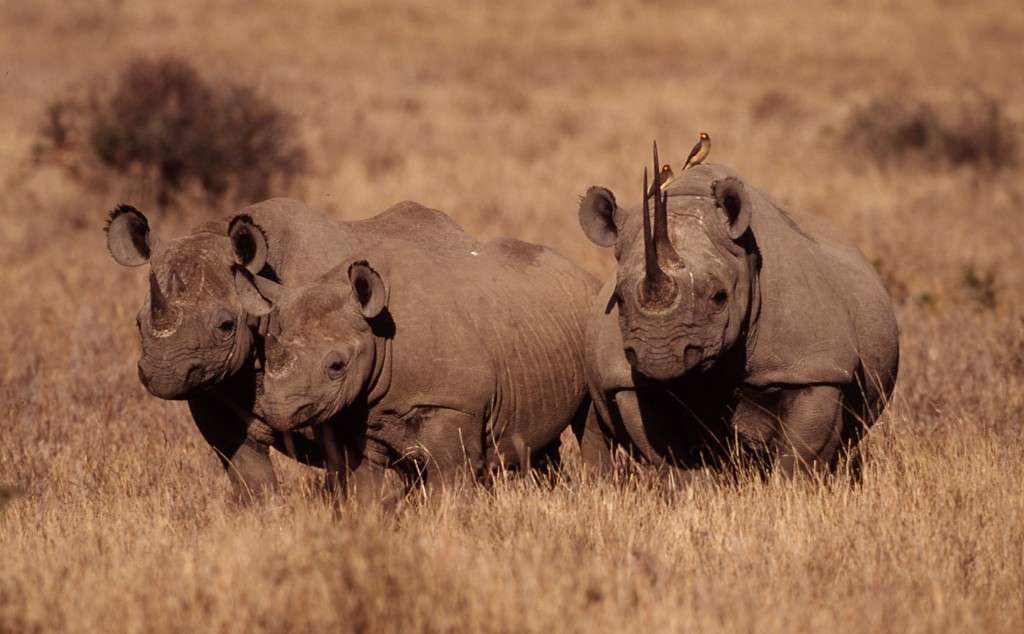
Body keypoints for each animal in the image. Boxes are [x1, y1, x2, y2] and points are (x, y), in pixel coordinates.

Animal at [230, 217, 601, 501]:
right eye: (266, 356)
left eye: (336, 366)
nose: (279, 409)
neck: (378, 336)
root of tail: (577, 270)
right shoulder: (357, 413)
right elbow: (364, 488)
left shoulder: (453, 405)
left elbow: (449, 483)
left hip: (590, 313)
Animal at [576, 146, 899, 476]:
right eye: (620, 300)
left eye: (719, 298)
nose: (660, 357)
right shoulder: (625, 379)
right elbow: (667, 452)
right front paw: (692, 486)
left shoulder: (816, 368)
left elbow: (801, 453)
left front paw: (790, 487)